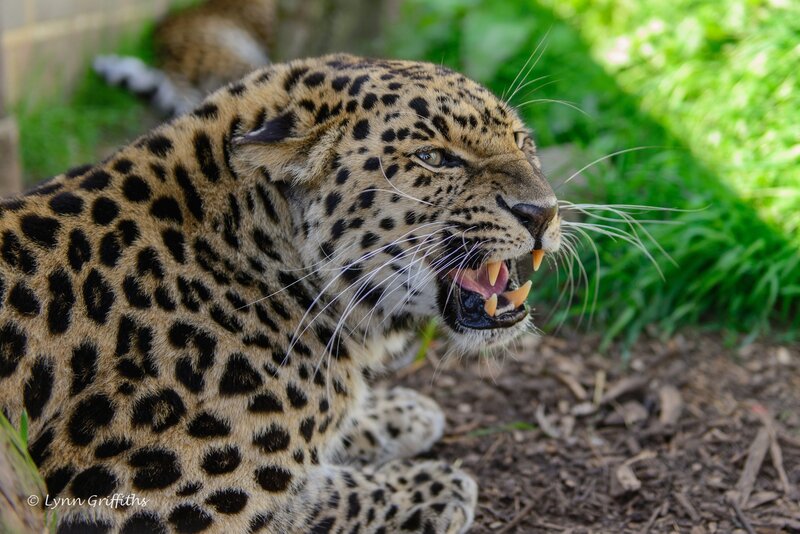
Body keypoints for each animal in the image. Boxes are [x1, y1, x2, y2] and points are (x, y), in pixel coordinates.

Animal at [0, 54, 561, 533]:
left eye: (522, 142)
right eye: (434, 158)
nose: (543, 212)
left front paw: (401, 412)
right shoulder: (129, 504)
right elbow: (320, 499)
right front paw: (436, 485)